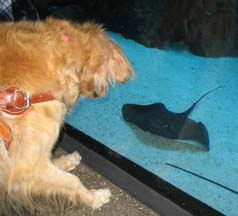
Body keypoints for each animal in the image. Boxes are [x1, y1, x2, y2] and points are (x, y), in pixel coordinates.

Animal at [0, 17, 133, 214]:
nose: (101, 93)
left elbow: (53, 165)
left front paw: (66, 161)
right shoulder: (25, 167)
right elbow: (73, 181)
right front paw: (95, 198)